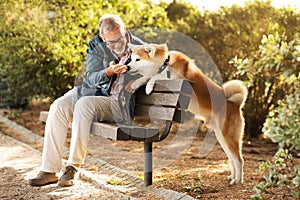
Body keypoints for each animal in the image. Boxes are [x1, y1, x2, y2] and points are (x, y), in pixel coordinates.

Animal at [127, 42, 247, 184]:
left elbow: (155, 76)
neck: (165, 63)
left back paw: (238, 180)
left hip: (228, 136)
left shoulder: (178, 80)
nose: (127, 67)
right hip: (221, 136)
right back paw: (232, 177)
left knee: (239, 160)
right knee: (231, 158)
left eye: (137, 59)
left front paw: (149, 86)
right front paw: (136, 83)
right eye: (131, 59)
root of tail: (235, 104)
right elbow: (147, 76)